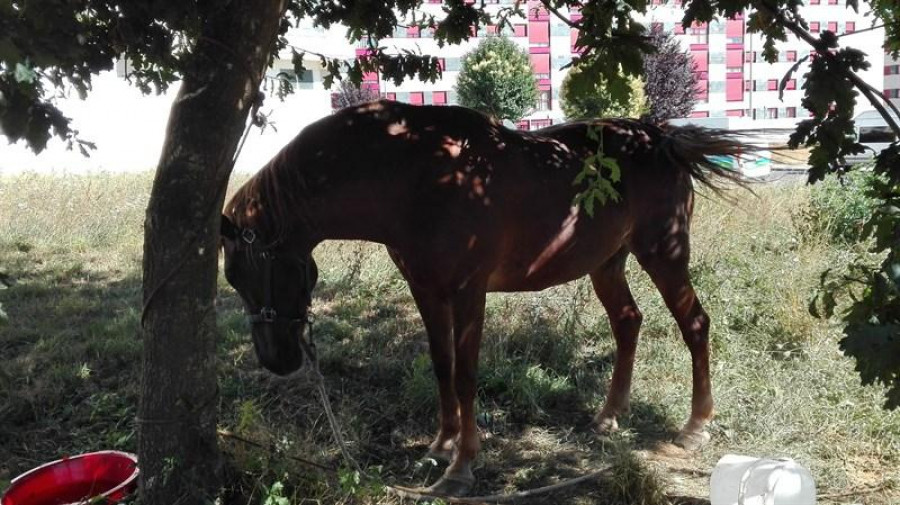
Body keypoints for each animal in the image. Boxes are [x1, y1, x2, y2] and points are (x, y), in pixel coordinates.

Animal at [220, 99, 744, 496]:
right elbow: (441, 365)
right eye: (235, 280)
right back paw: (609, 416)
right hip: (607, 263)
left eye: (251, 272)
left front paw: (462, 466)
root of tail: (662, 139)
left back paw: (694, 426)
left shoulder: (469, 292)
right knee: (628, 322)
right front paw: (440, 446)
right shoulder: (426, 290)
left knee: (694, 324)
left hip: (663, 253)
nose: (276, 361)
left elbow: (466, 374)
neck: (416, 173)